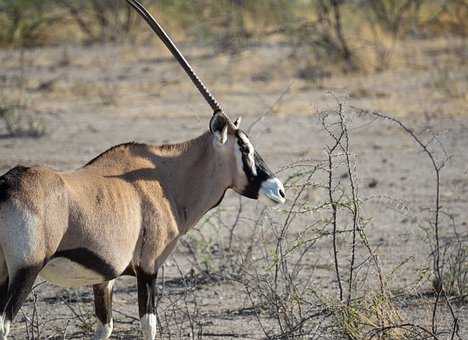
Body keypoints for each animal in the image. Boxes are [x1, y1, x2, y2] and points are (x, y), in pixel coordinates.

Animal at [0, 1, 286, 338]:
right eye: (244, 147)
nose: (279, 190)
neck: (165, 179)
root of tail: (6, 186)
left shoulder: (105, 278)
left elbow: (105, 326)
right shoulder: (149, 267)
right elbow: (149, 325)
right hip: (25, 271)